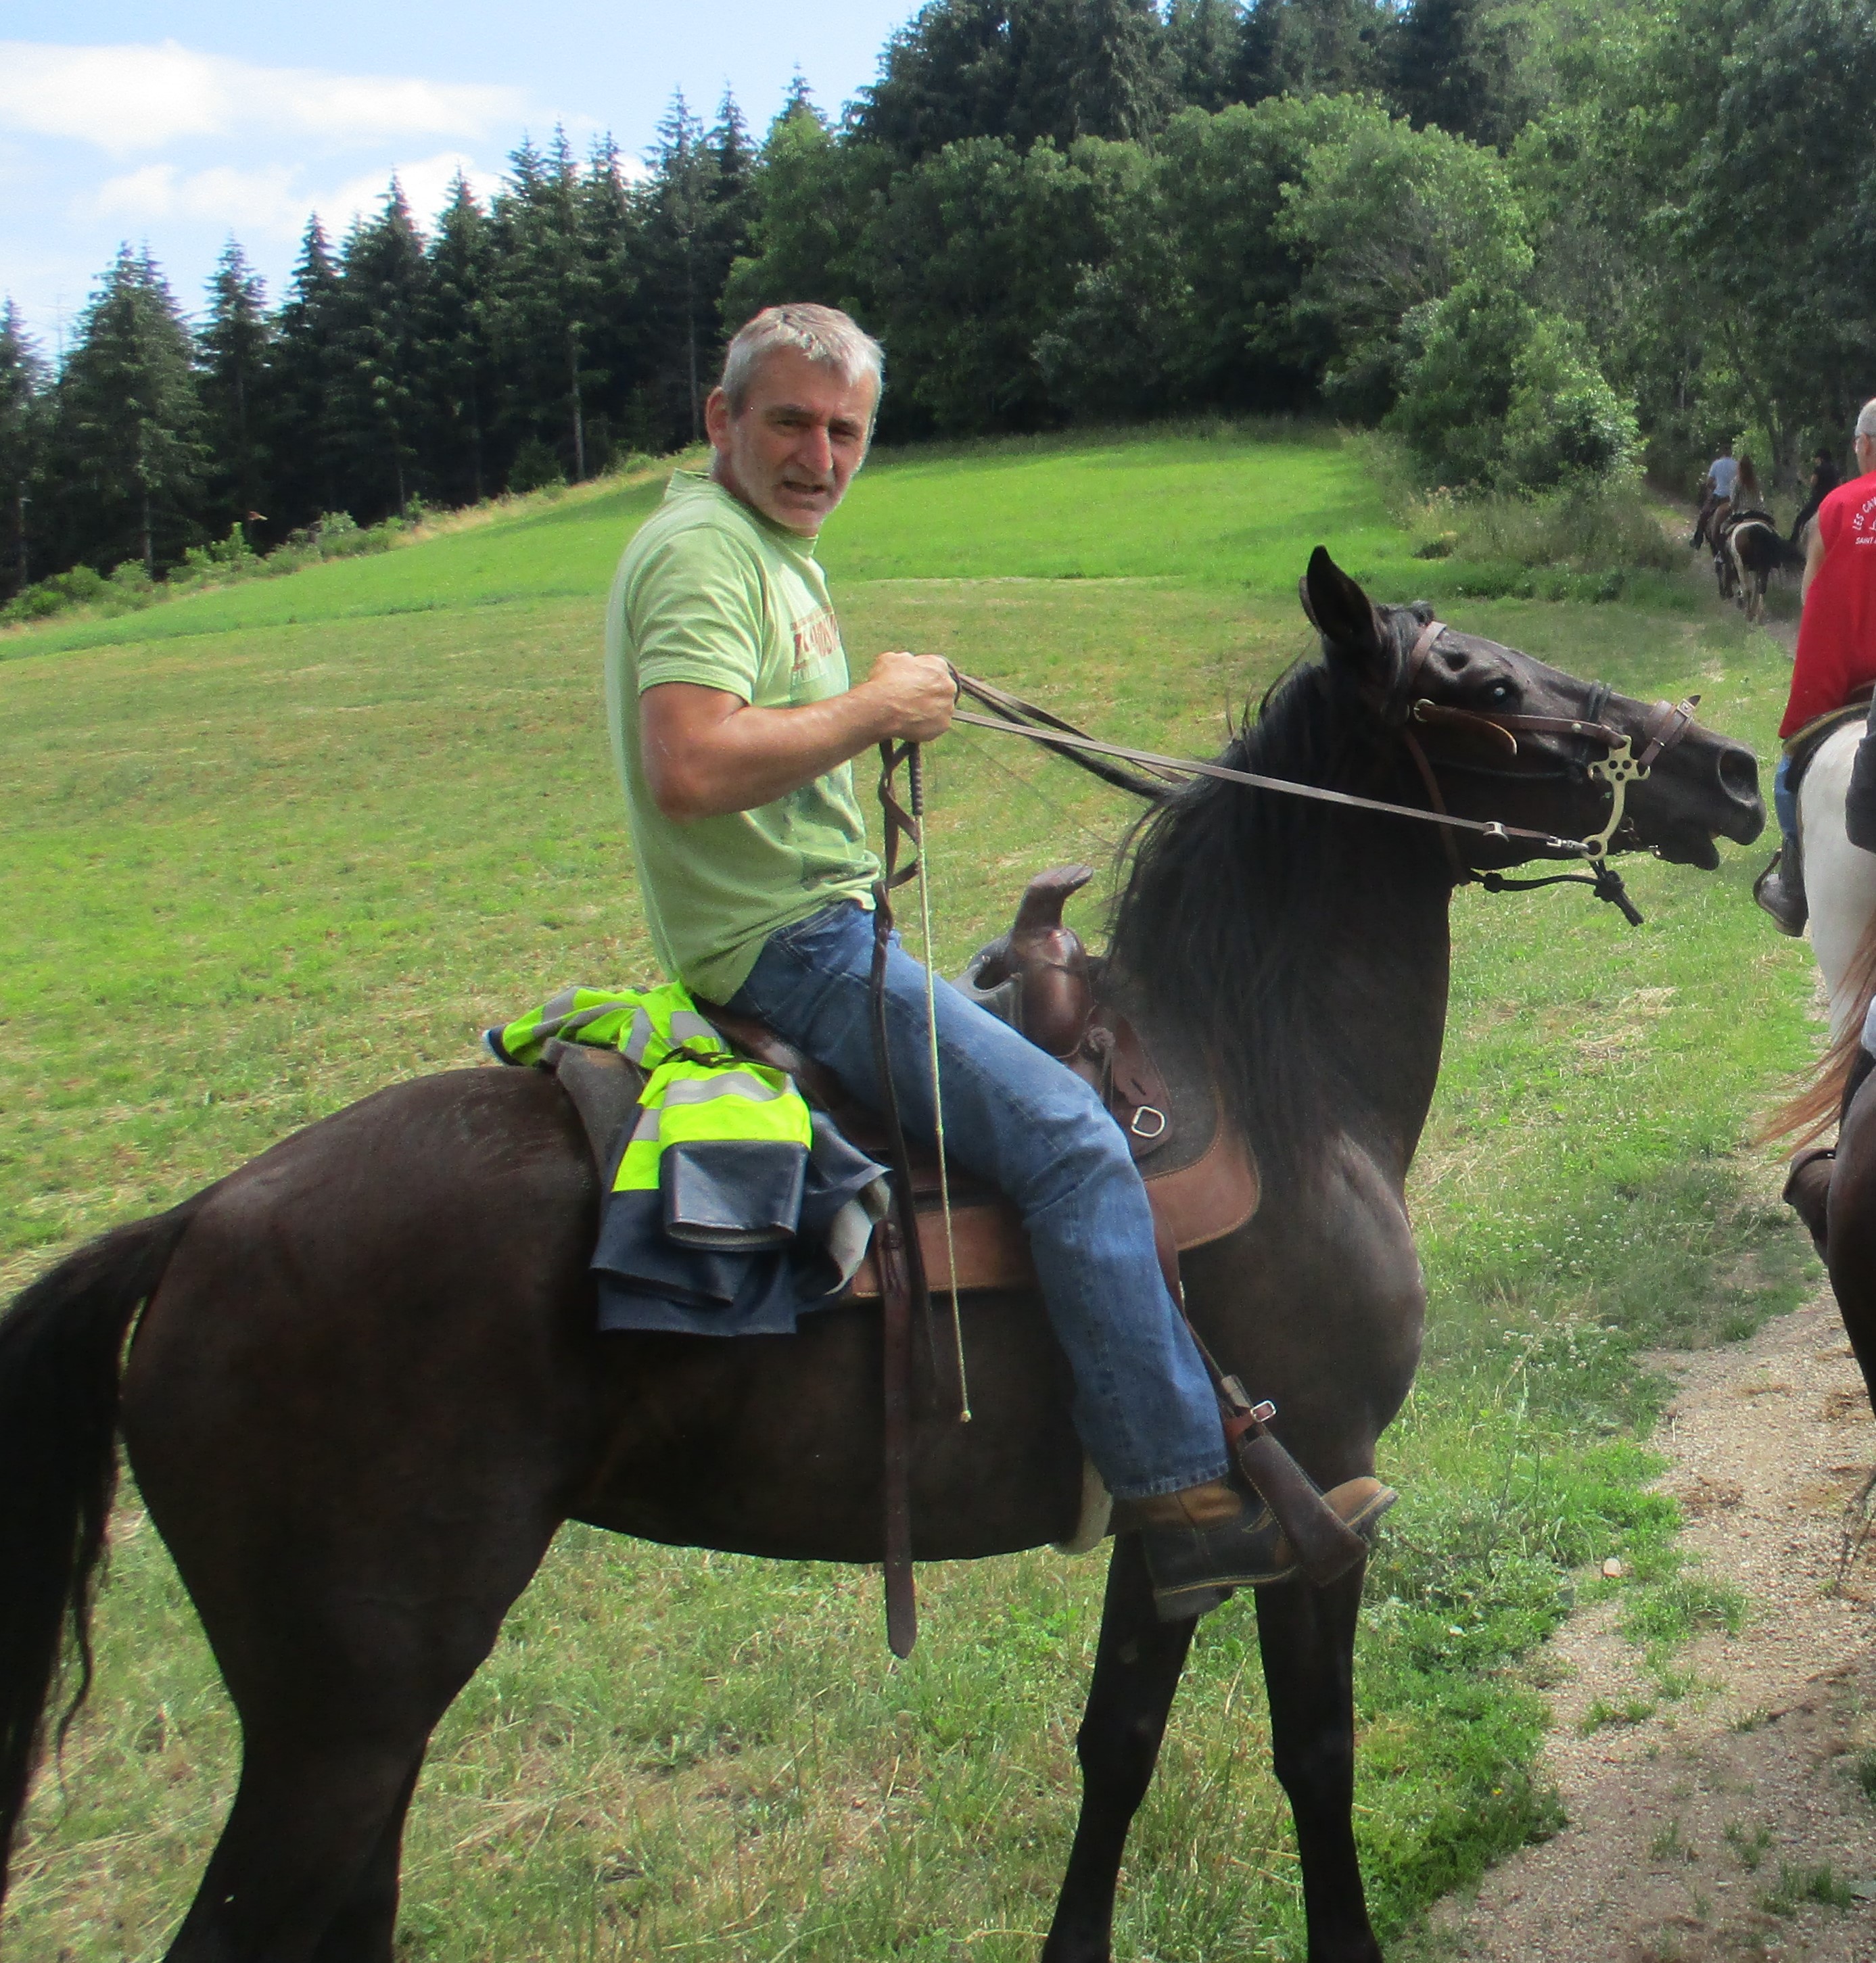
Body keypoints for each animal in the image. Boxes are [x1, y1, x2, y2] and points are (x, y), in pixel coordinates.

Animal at [0, 553, 1758, 1963]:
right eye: (1480, 685)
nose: (1729, 765)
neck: (1275, 1078)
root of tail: (196, 1220)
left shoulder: (1184, 1512)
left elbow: (1117, 1738)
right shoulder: (1327, 1479)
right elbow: (1313, 1749)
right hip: (339, 1719)